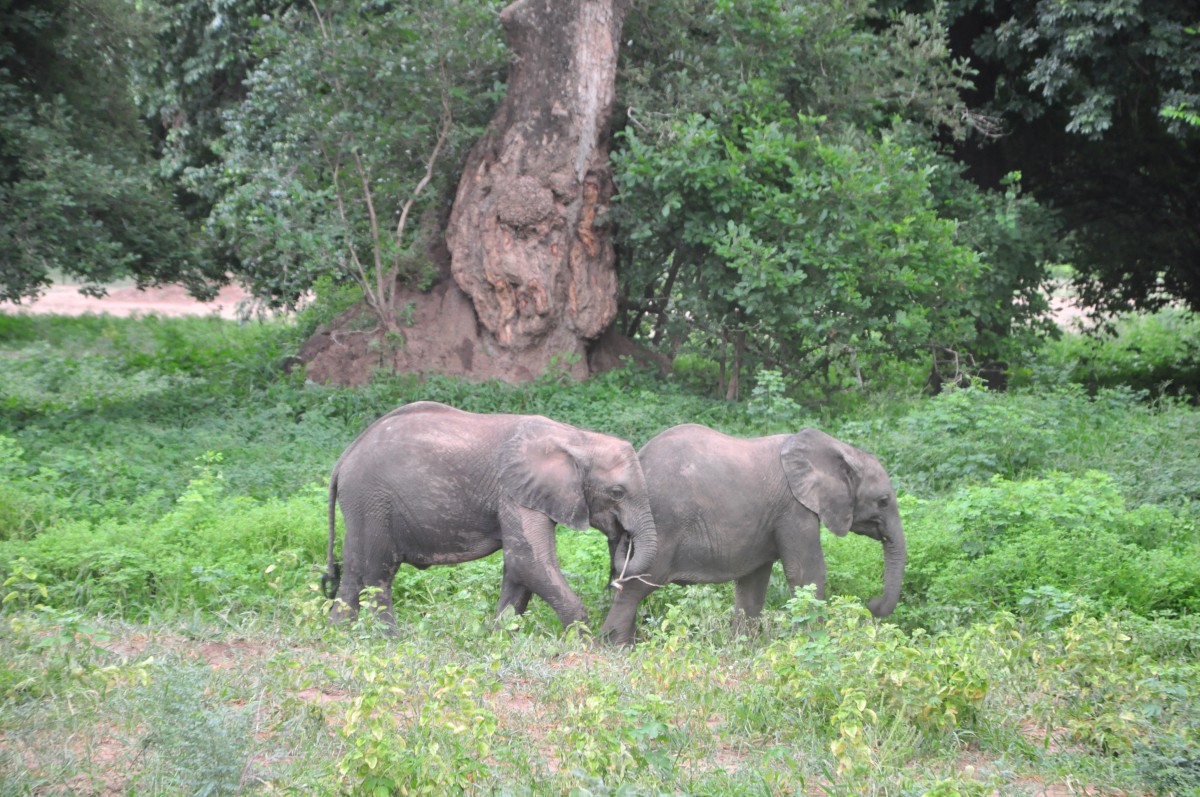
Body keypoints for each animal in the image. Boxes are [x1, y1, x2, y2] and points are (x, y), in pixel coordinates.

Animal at [319, 400, 657, 633]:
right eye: (617, 493)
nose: (623, 537)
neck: (578, 439)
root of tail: (344, 458)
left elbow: (519, 569)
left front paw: (501, 636)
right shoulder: (514, 491)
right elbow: (528, 561)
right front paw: (580, 641)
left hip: (361, 505)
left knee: (353, 566)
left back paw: (338, 632)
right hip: (373, 500)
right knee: (378, 569)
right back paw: (389, 637)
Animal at [604, 427, 902, 643]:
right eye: (883, 501)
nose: (872, 605)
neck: (841, 449)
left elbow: (753, 583)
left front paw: (743, 646)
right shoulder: (794, 509)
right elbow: (807, 574)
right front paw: (814, 644)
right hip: (663, 523)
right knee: (635, 584)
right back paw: (616, 647)